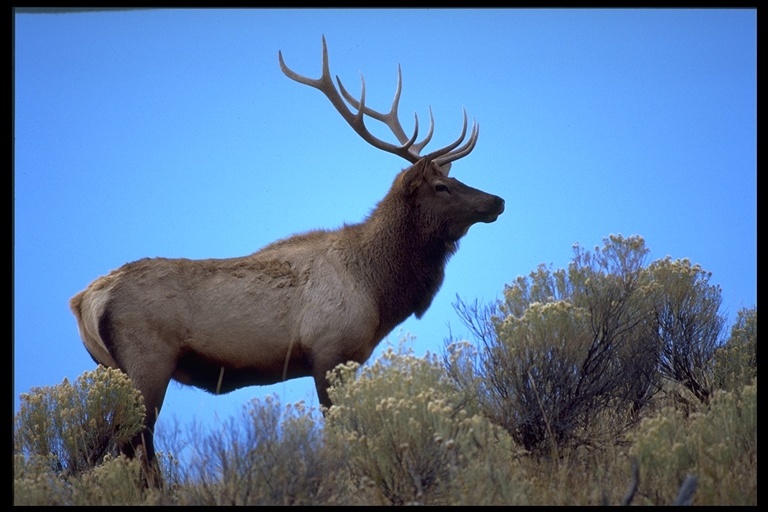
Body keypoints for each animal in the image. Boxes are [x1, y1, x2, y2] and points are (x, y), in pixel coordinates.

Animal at [69, 37, 508, 488]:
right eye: (441, 186)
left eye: (454, 179)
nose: (497, 201)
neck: (377, 290)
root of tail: (83, 301)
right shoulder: (331, 351)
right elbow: (339, 435)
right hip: (146, 365)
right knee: (132, 446)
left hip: (112, 370)